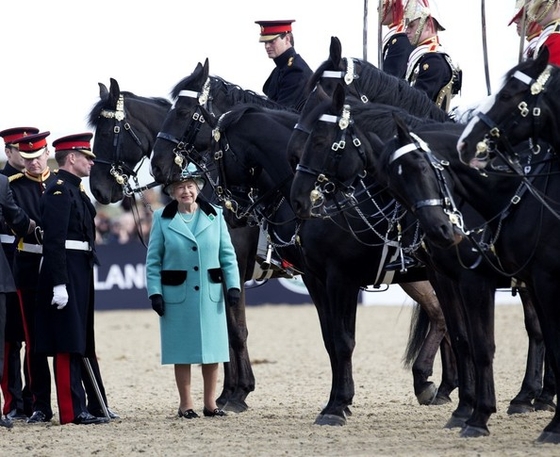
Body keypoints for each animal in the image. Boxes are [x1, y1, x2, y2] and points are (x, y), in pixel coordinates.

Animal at [290, 83, 552, 436]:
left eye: (318, 140)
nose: (299, 198)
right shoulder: (442, 277)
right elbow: (461, 337)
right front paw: (464, 409)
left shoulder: (341, 277)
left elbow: (343, 341)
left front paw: (337, 405)